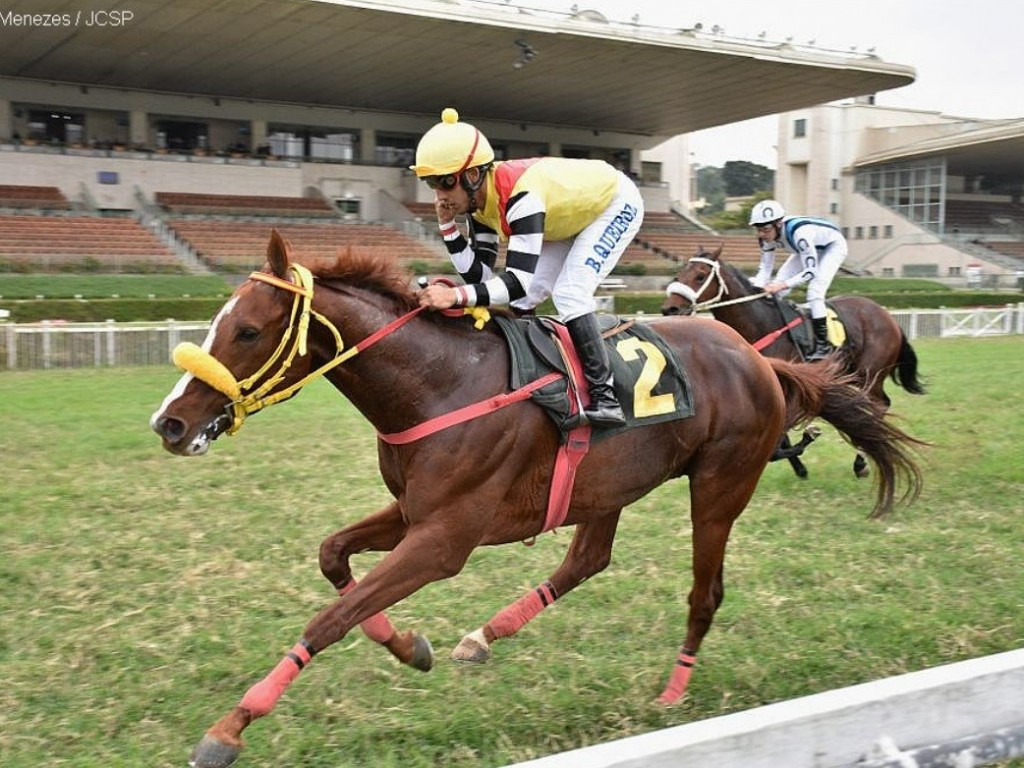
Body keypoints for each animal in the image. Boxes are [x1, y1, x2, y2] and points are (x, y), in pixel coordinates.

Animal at [659, 246, 925, 479]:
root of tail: (887, 315)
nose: (669, 309)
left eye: (700, 275)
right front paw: (800, 466)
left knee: (877, 405)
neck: (763, 324)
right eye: (679, 274)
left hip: (870, 372)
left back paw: (861, 462)